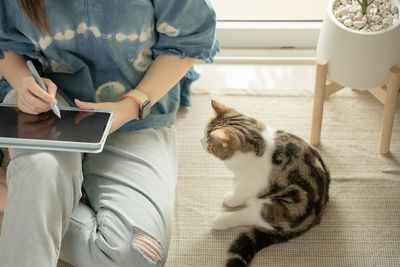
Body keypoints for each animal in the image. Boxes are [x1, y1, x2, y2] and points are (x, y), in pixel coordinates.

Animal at [202, 100, 330, 267]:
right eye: (204, 133)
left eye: (210, 144)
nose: (201, 142)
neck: (259, 143)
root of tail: (313, 220)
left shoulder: (250, 182)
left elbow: (240, 192)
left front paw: (231, 199)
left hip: (278, 208)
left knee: (251, 215)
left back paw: (222, 220)